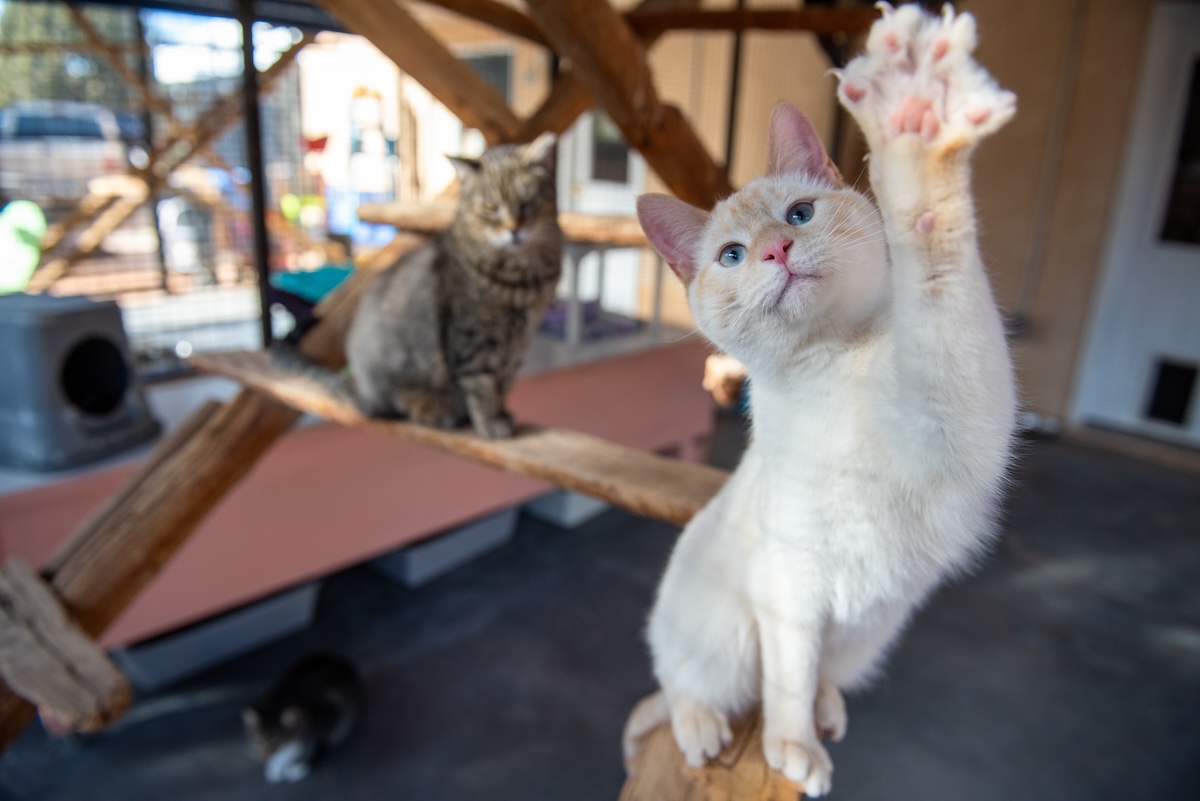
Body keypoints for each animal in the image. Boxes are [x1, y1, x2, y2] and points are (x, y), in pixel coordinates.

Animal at [624, 4, 1017, 796]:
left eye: (800, 214)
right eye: (732, 256)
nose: (777, 251)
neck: (833, 365)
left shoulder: (959, 420)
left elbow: (938, 261)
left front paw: (919, 120)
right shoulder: (791, 587)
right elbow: (786, 685)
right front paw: (793, 748)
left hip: (874, 628)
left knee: (829, 674)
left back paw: (830, 707)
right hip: (725, 634)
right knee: (682, 686)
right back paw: (703, 729)